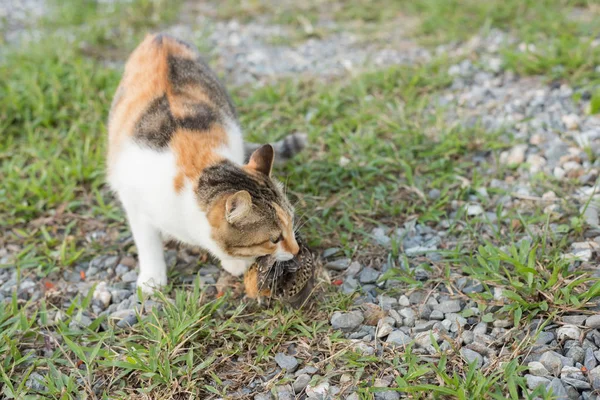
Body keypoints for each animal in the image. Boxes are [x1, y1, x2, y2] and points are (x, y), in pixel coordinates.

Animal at [106, 32, 304, 294]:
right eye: (274, 239)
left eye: (291, 223)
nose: (296, 250)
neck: (196, 171)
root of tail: (160, 36)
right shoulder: (133, 201)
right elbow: (147, 242)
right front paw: (151, 279)